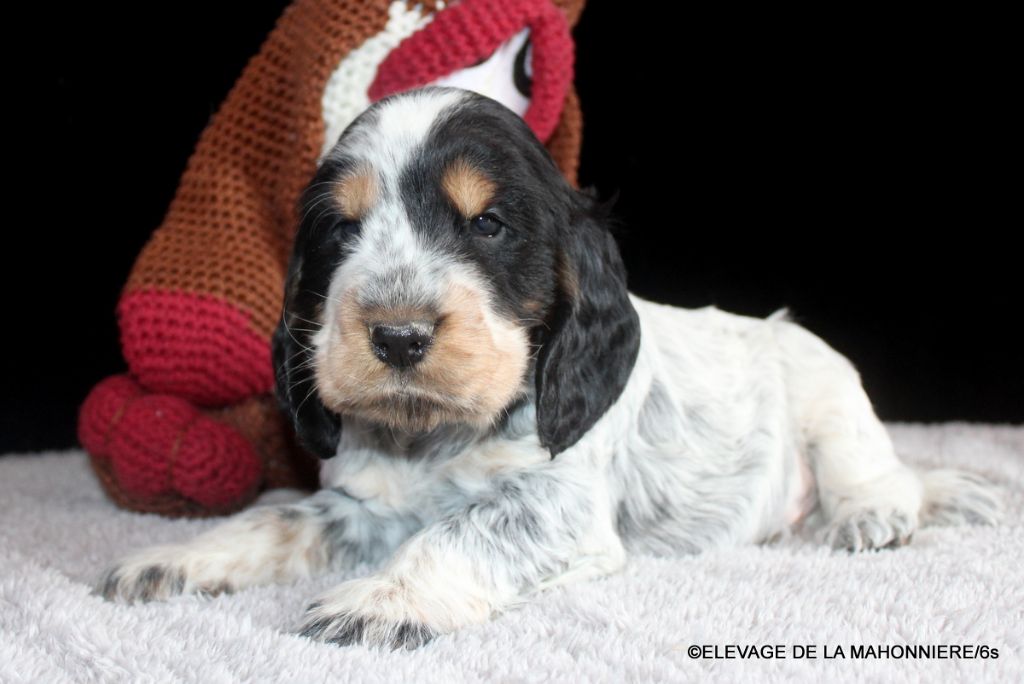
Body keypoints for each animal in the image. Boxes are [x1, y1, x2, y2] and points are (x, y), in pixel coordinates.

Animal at [97, 88, 999, 651]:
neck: (436, 441)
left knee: (878, 469)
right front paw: (172, 560)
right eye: (341, 231)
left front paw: (382, 599)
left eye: (488, 224)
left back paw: (872, 514)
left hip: (826, 384)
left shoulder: (554, 506)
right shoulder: (360, 505)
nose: (398, 336)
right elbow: (276, 521)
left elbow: (460, 531)